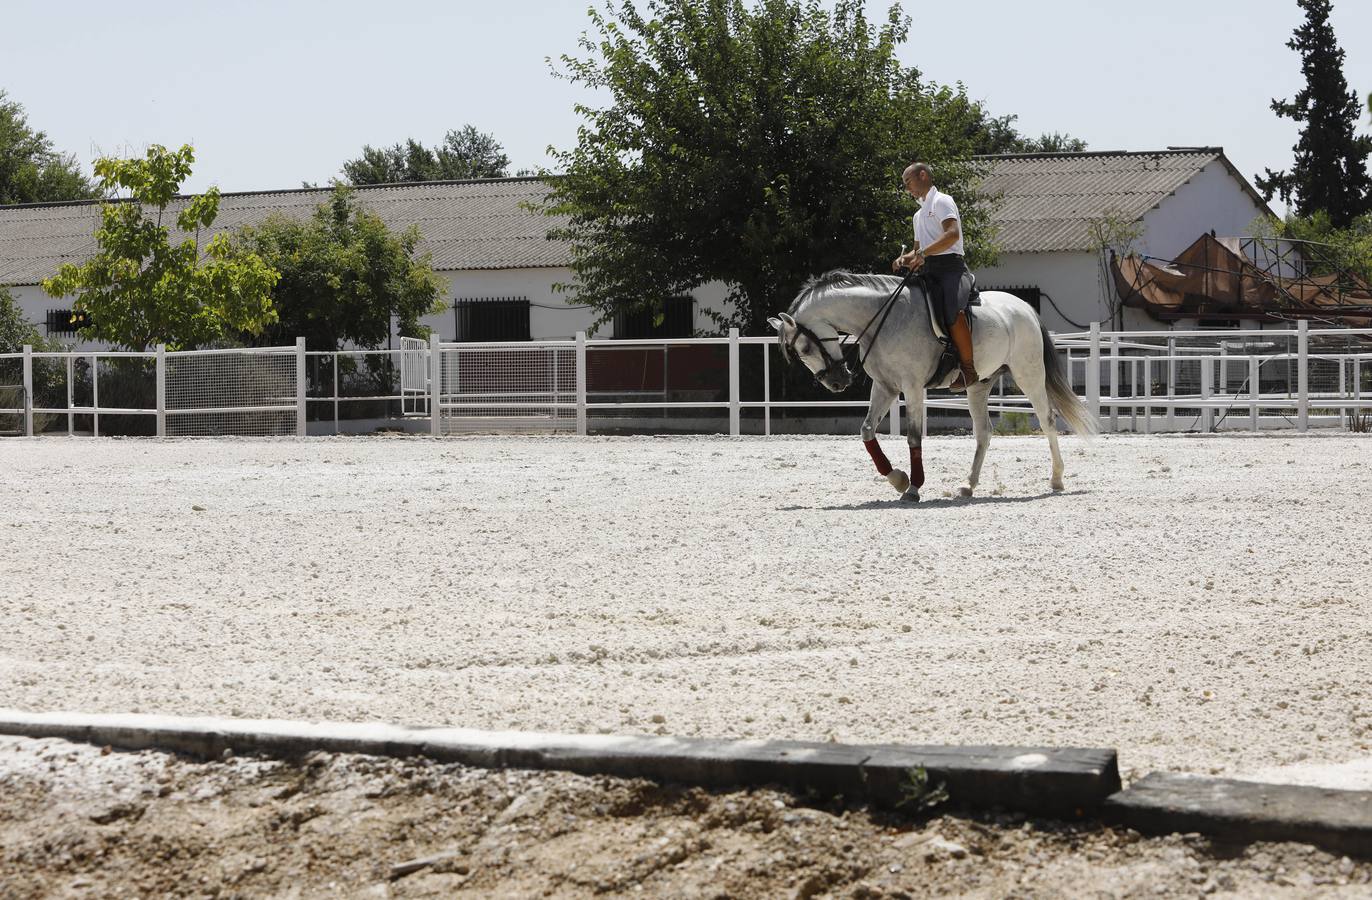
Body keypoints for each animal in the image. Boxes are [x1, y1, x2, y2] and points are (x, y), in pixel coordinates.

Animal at [773, 270, 1092, 502]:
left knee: (1047, 420)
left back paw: (1056, 479)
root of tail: (1024, 307)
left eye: (805, 347)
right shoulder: (885, 386)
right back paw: (968, 486)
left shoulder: (912, 386)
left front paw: (913, 488)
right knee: (984, 432)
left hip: (1029, 374)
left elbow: (914, 437)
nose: (836, 382)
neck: (882, 320)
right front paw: (898, 479)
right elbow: (866, 431)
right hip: (979, 385)